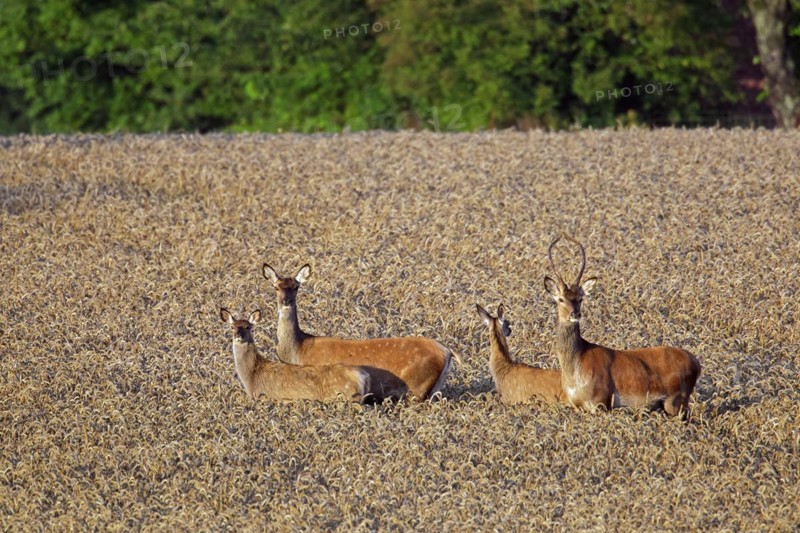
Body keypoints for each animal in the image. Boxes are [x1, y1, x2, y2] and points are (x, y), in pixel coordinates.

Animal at [262, 263, 461, 401]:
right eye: (276, 287)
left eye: (296, 287)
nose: (286, 301)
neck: (299, 350)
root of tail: (447, 351)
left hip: (418, 387)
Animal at [543, 235, 701, 417]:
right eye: (561, 299)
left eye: (580, 298)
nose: (575, 314)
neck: (575, 367)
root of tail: (696, 363)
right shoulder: (578, 406)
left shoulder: (602, 401)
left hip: (676, 401)